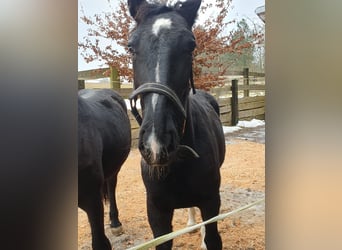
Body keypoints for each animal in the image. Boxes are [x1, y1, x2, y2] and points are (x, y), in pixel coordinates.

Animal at [127, 0, 226, 249]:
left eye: (191, 46)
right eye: (130, 47)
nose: (156, 144)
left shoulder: (211, 202)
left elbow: (212, 237)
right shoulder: (157, 213)